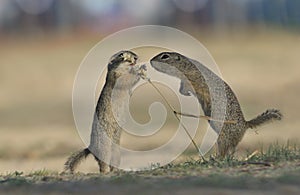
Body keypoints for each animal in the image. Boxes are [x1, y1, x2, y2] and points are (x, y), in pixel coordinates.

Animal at [151, 52, 282, 158]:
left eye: (165, 56)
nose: (150, 61)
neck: (187, 65)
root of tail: (245, 124)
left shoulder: (193, 79)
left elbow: (189, 86)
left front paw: (186, 93)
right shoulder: (184, 81)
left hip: (223, 136)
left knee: (224, 149)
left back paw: (217, 158)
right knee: (232, 149)